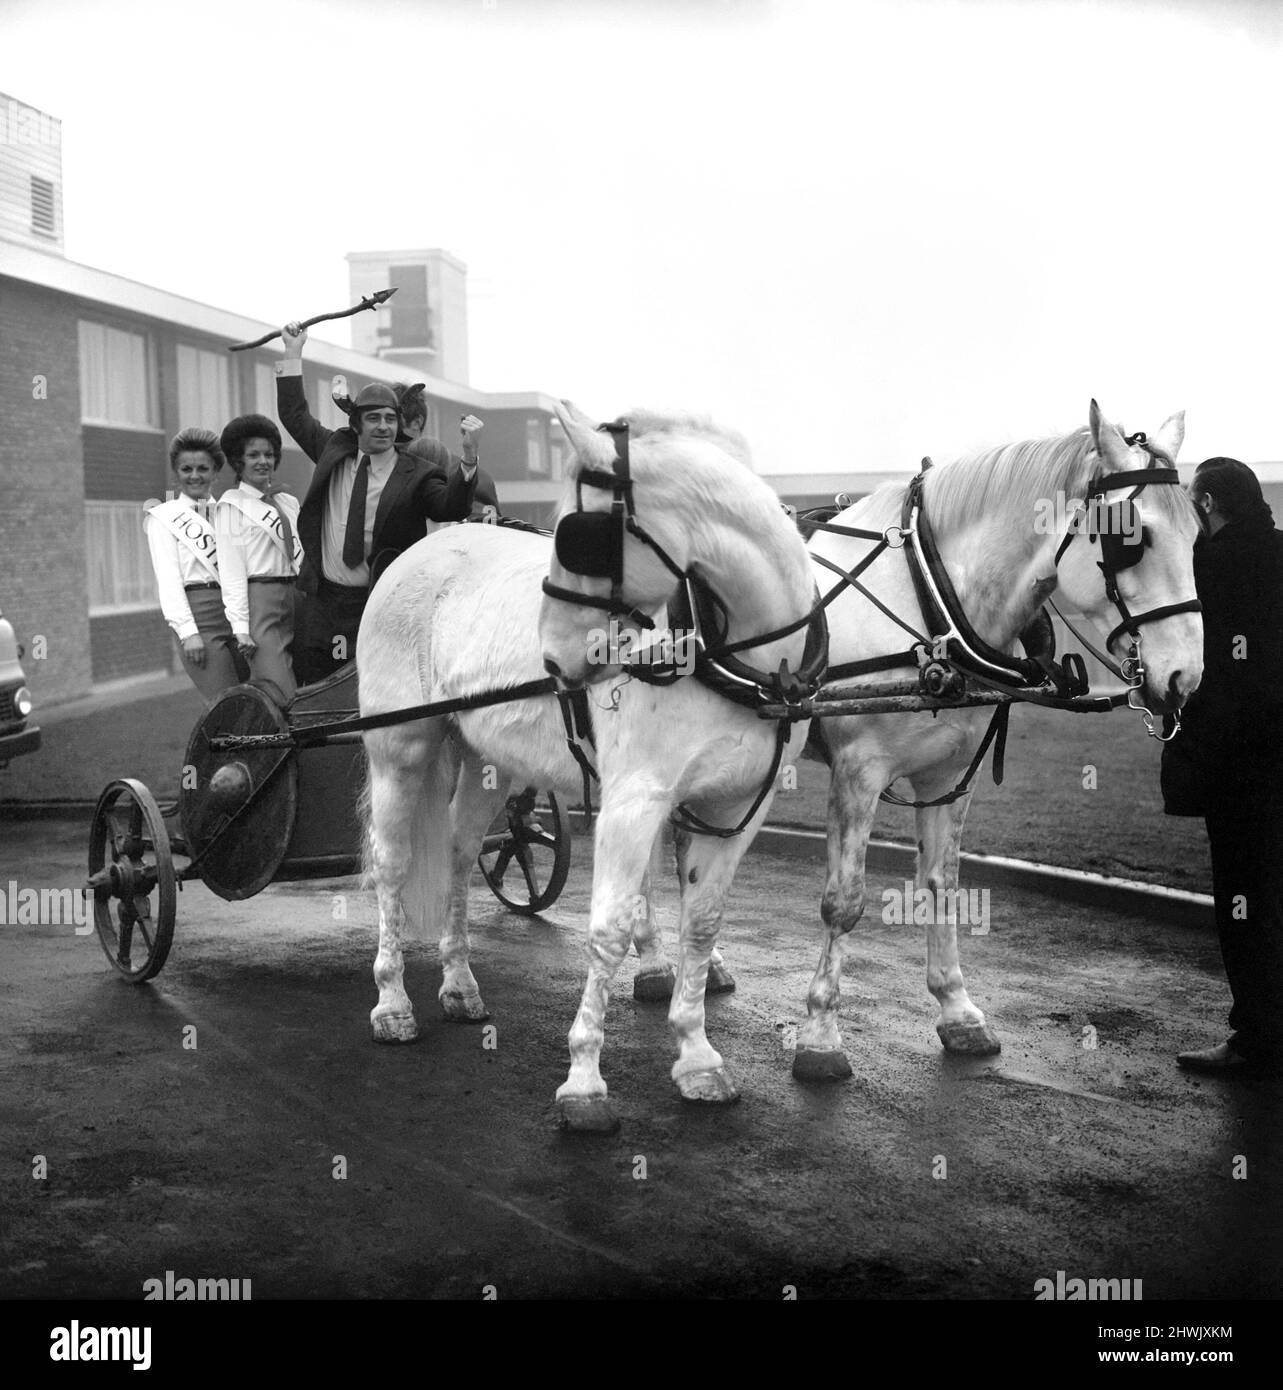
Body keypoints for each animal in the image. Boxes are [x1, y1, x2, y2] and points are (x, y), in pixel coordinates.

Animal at [355, 400, 817, 1128]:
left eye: (579, 538)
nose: (551, 659)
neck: (739, 656)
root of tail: (417, 552)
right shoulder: (634, 800)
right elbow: (608, 930)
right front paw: (584, 1081)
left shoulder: (737, 807)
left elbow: (701, 924)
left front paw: (696, 1057)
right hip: (399, 749)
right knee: (393, 864)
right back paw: (393, 1002)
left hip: (487, 761)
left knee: (459, 849)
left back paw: (458, 984)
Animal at [789, 400, 1206, 1073]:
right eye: (1131, 538)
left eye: (1197, 534)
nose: (1185, 677)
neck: (932, 605)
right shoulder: (857, 772)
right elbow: (844, 900)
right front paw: (821, 1034)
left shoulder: (951, 777)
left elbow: (944, 885)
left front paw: (957, 1011)